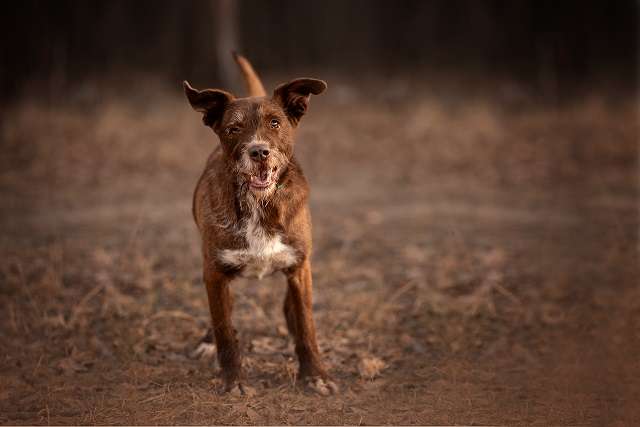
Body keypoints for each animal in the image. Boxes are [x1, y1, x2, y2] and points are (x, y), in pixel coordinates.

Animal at [182, 53, 338, 398]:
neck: (259, 205)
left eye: (275, 123)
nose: (259, 151)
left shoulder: (300, 267)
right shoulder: (214, 271)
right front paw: (233, 381)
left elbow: (307, 327)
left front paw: (315, 375)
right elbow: (225, 331)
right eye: (233, 128)